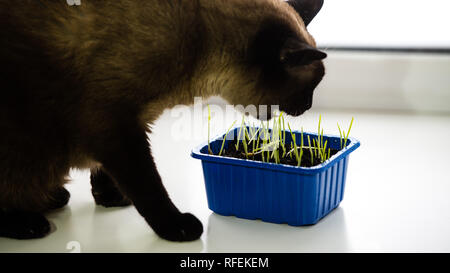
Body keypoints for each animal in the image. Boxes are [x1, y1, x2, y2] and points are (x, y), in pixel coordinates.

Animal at [0, 0, 326, 242]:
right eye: (309, 89)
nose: (308, 107)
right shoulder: (114, 128)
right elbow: (149, 187)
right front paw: (176, 226)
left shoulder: (123, 129)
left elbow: (104, 173)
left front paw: (111, 198)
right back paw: (28, 223)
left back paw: (51, 197)